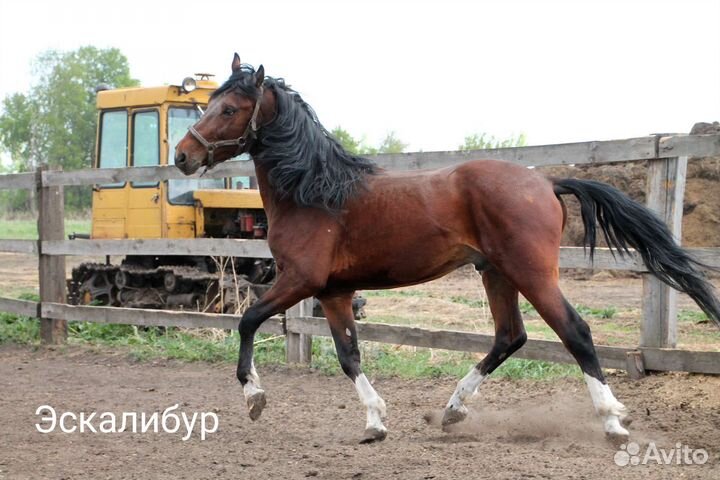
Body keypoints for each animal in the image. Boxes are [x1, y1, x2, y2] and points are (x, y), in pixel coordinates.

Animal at [174, 53, 720, 443]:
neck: (314, 193)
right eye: (209, 105)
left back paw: (611, 421)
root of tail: (545, 182)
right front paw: (375, 423)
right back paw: (453, 410)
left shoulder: (299, 280)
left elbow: (248, 321)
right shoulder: (333, 292)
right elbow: (349, 355)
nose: (183, 155)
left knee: (576, 333)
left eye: (228, 108)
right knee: (510, 337)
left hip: (531, 272)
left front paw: (255, 397)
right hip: (495, 272)